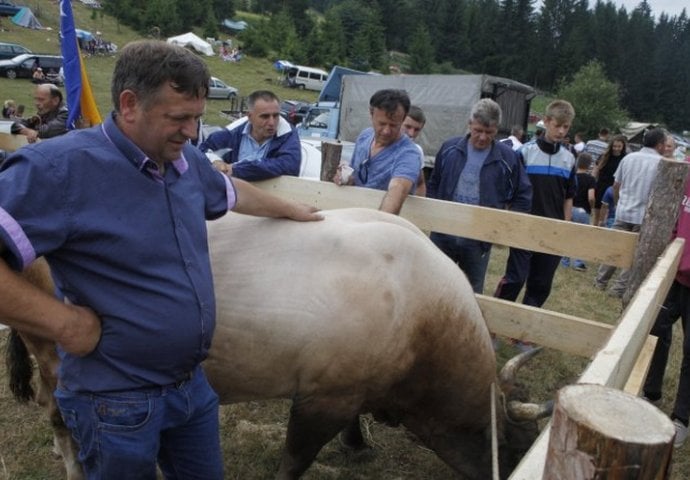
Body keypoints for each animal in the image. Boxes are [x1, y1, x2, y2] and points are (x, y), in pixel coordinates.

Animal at [4, 209, 544, 480]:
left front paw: (356, 443)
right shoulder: (322, 397)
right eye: (520, 453)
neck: (419, 313)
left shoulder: (352, 387)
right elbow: (294, 460)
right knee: (63, 417)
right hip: (57, 355)